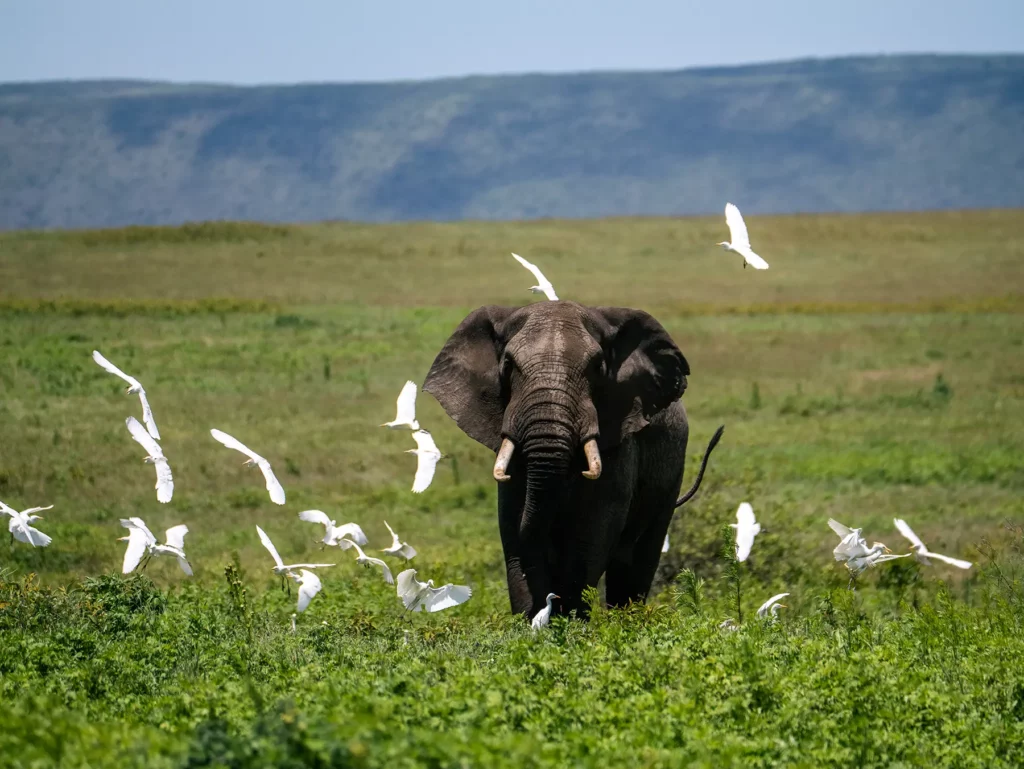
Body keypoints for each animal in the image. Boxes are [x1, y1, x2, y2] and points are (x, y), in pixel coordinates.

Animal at [423, 300, 723, 620]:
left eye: (598, 367)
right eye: (508, 365)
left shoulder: (619, 440)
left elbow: (591, 532)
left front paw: (570, 622)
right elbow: (514, 525)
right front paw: (534, 622)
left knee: (637, 558)